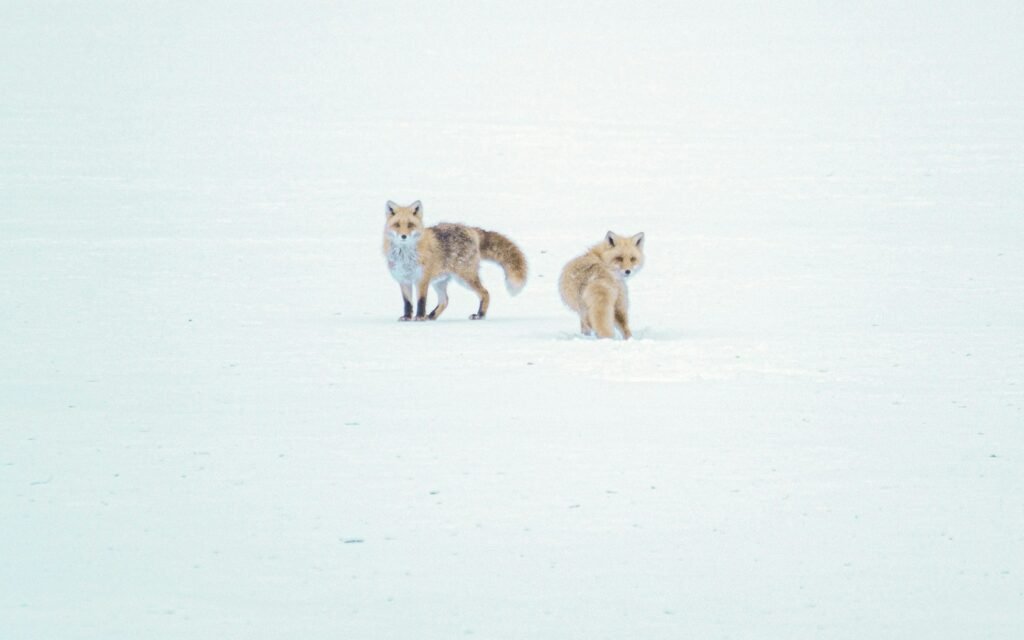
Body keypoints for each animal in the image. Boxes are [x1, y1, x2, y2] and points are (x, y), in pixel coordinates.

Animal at [382, 200, 528, 321]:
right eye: (397, 225)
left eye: (410, 225)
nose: (403, 236)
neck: (405, 256)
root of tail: (470, 229)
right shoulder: (403, 280)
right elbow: (407, 302)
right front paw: (407, 317)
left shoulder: (421, 279)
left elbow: (421, 301)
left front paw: (419, 317)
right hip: (440, 282)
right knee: (445, 301)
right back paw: (432, 316)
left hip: (464, 278)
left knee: (485, 293)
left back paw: (480, 315)